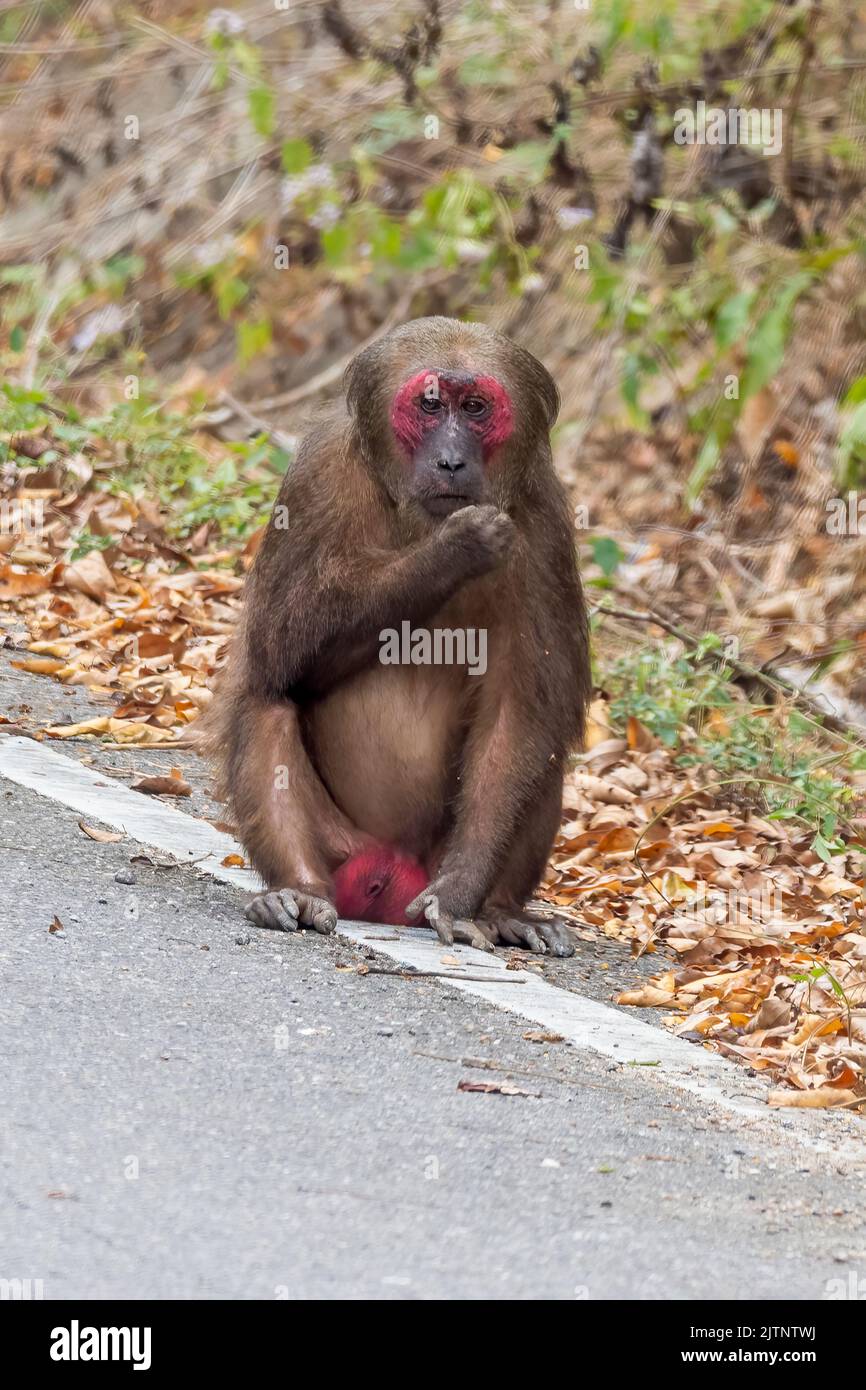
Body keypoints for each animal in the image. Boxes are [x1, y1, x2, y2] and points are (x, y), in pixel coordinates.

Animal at [207, 316, 592, 956]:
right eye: (431, 405)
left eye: (477, 408)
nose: (452, 461)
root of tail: (392, 868)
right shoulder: (317, 476)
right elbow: (277, 648)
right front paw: (454, 549)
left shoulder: (546, 521)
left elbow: (521, 712)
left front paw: (459, 895)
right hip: (344, 848)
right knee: (266, 701)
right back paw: (298, 891)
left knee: (541, 749)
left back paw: (502, 910)